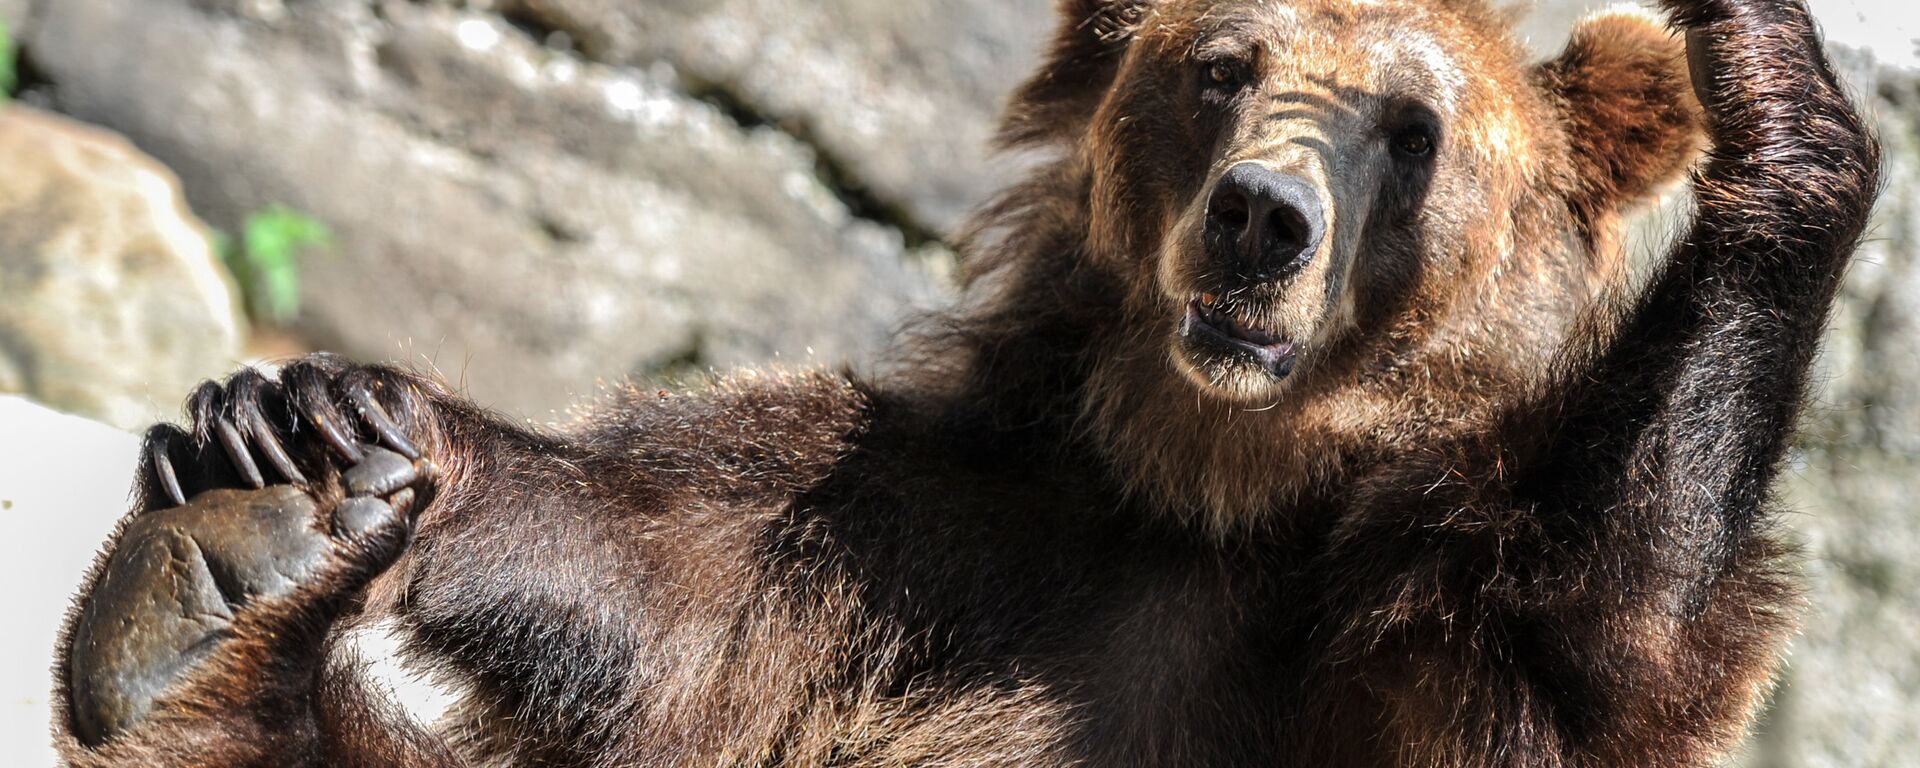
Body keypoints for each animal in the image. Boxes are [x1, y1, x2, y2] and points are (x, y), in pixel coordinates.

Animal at [50, 0, 1879, 764]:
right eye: (1224, 68)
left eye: (1413, 125)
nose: (1260, 217)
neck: (1212, 490)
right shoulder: (936, 535)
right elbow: (647, 572)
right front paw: (310, 417)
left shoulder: (1409, 638)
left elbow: (1614, 632)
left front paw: (1779, 89)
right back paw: (220, 556)